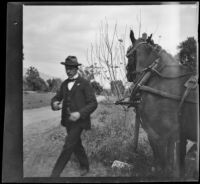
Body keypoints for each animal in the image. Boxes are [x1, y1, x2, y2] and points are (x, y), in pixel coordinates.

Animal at [126, 30, 198, 178]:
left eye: (128, 53)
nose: (127, 73)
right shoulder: (176, 136)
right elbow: (174, 161)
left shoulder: (159, 134)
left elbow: (162, 162)